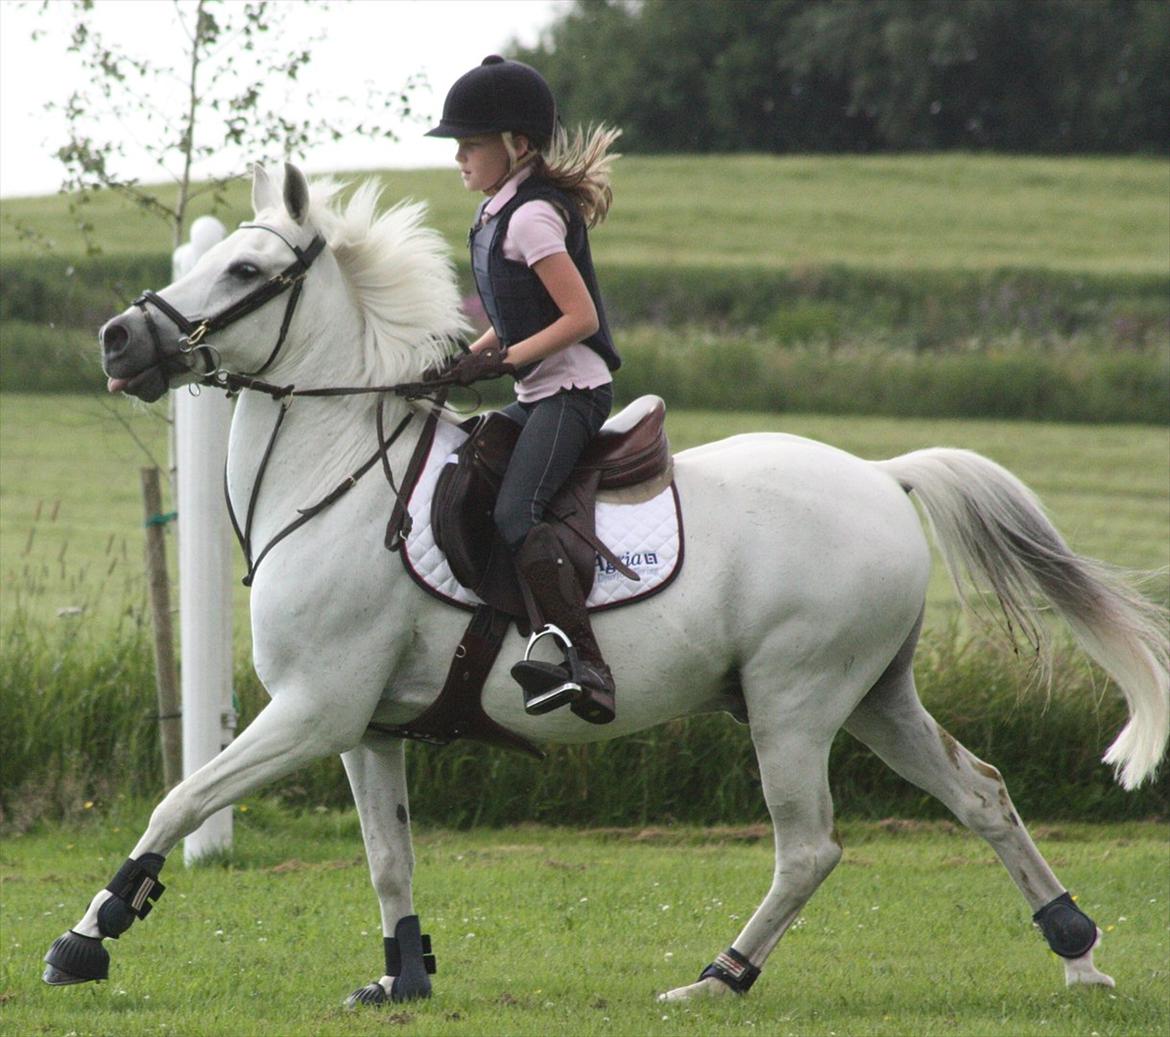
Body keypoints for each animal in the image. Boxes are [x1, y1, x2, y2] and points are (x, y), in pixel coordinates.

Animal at [41, 163, 1165, 1006]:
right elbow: (388, 856)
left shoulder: (313, 710)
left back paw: (719, 975)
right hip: (873, 693)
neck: (338, 475)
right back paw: (1078, 951)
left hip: (794, 699)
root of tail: (884, 475)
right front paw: (403, 975)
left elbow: (181, 799)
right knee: (982, 794)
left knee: (809, 846)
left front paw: (86, 938)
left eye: (243, 265)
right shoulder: (363, 725)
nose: (117, 339)